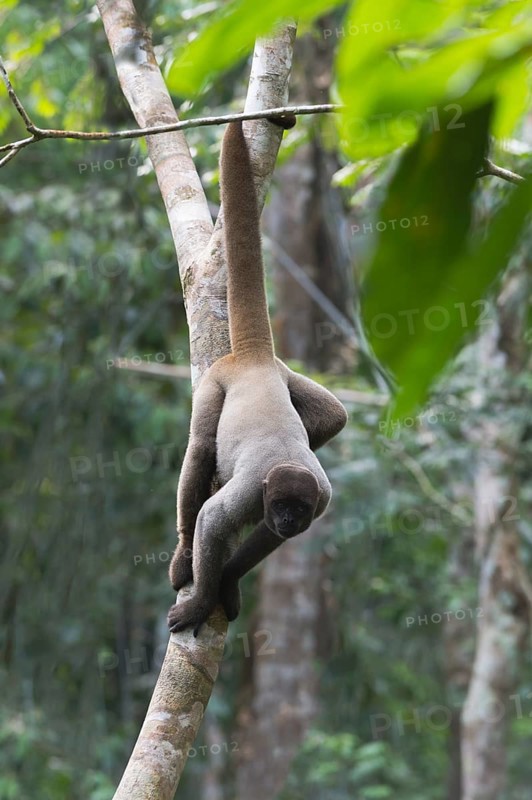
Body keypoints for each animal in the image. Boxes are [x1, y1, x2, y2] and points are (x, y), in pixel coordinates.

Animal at [167, 119, 347, 636]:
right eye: (284, 505)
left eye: (298, 510)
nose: (288, 519)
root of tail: (254, 358)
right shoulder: (252, 494)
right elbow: (212, 520)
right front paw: (200, 600)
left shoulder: (321, 499)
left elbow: (266, 541)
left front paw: (227, 582)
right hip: (214, 380)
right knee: (199, 451)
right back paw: (182, 555)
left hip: (286, 373)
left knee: (336, 416)